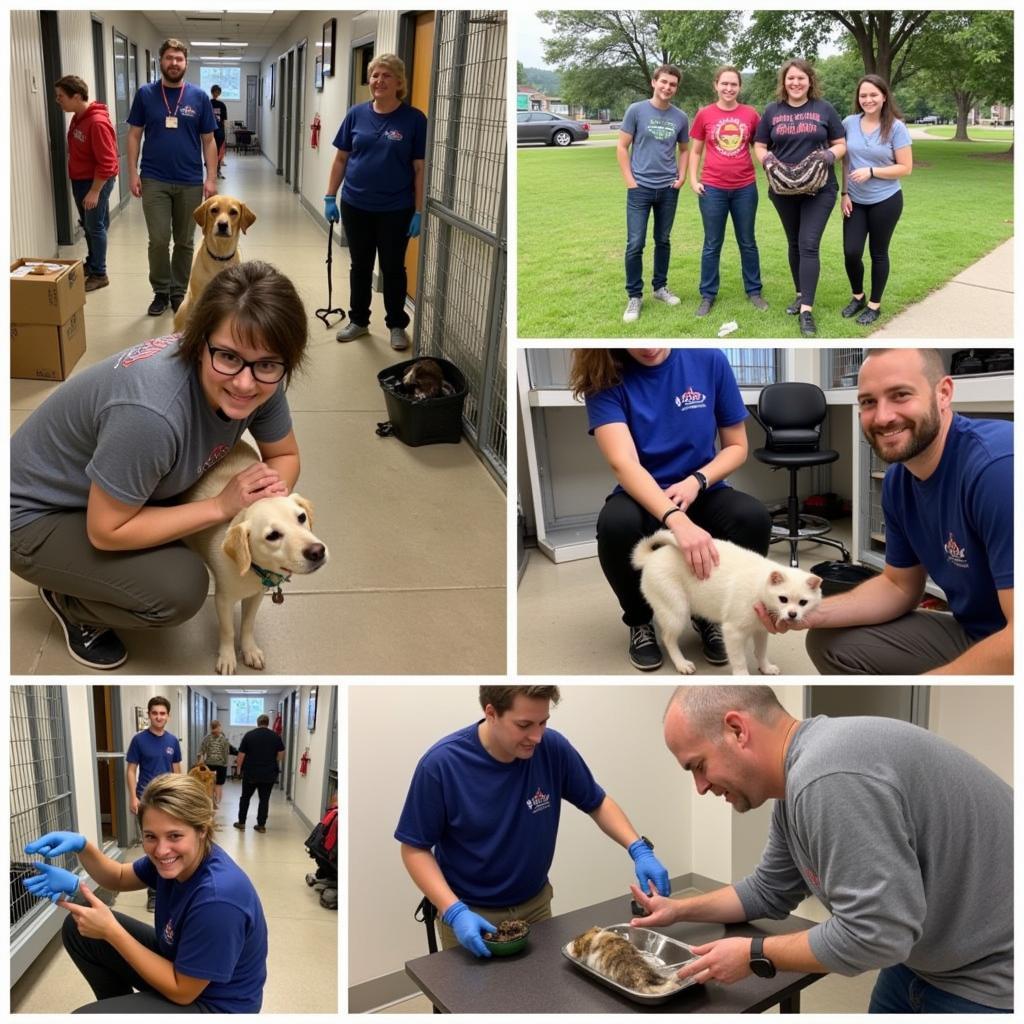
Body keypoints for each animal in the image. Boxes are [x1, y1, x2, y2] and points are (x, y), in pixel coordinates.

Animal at [174, 195, 258, 331]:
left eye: (233, 212)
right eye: (214, 210)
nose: (222, 225)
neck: (220, 256)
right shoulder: (200, 296)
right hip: (184, 308)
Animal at [182, 438, 327, 671]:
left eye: (302, 517)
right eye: (272, 535)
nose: (317, 551)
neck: (251, 569)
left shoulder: (256, 595)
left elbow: (248, 624)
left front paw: (249, 650)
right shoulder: (223, 600)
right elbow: (228, 630)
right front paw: (227, 657)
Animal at [630, 532, 823, 675]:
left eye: (803, 602)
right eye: (783, 599)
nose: (792, 615)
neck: (759, 586)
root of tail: (651, 557)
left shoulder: (760, 629)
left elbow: (761, 651)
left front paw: (766, 668)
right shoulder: (733, 632)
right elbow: (739, 660)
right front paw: (743, 677)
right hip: (677, 611)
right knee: (667, 638)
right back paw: (681, 663)